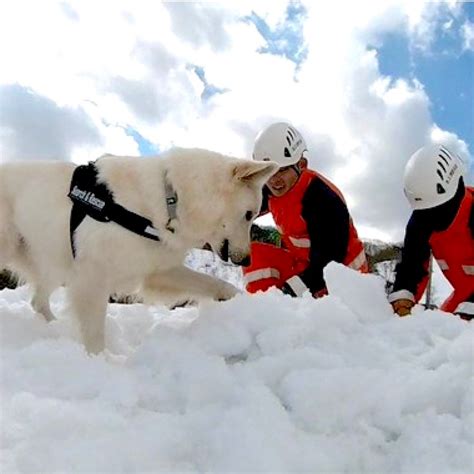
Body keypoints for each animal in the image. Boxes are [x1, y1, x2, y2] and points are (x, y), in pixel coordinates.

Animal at [0, 148, 278, 352]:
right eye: (249, 214)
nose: (247, 260)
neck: (170, 200)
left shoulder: (157, 271)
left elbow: (213, 283)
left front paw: (241, 301)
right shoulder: (92, 278)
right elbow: (93, 332)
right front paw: (102, 362)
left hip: (54, 263)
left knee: (38, 301)